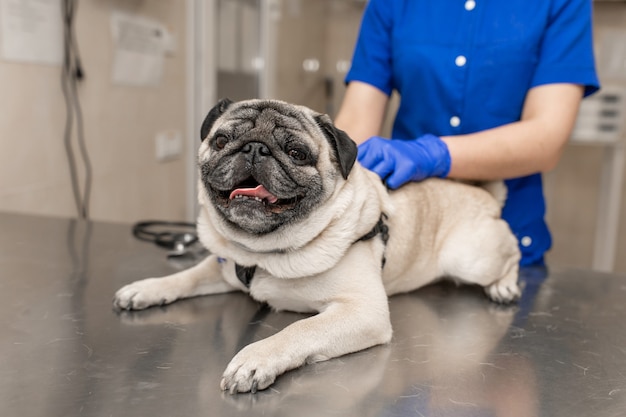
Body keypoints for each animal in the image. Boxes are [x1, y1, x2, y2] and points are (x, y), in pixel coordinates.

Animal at [113, 98, 520, 394]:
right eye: (221, 141)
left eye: (297, 153)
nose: (255, 148)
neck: (263, 252)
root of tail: (482, 194)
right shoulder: (224, 264)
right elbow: (187, 277)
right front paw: (146, 289)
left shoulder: (362, 311)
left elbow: (300, 330)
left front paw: (256, 359)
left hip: (469, 258)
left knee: (513, 251)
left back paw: (505, 286)